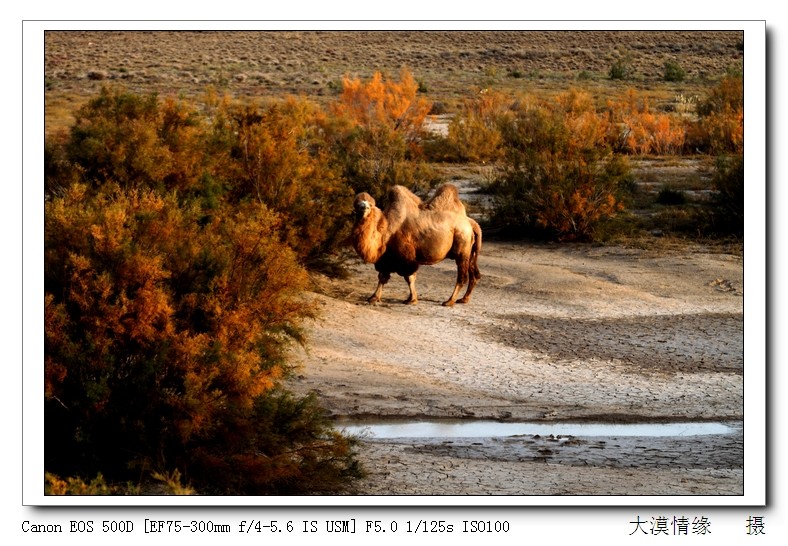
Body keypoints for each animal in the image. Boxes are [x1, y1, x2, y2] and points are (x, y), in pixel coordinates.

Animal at [350, 182, 480, 302]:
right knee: (474, 274)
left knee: (462, 277)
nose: (363, 207)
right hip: (469, 250)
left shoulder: (406, 256)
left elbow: (409, 277)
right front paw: (373, 297)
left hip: (462, 245)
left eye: (370, 205)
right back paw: (464, 299)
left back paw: (450, 301)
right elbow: (382, 276)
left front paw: (412, 299)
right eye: (357, 205)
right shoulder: (386, 257)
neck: (387, 230)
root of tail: (470, 223)